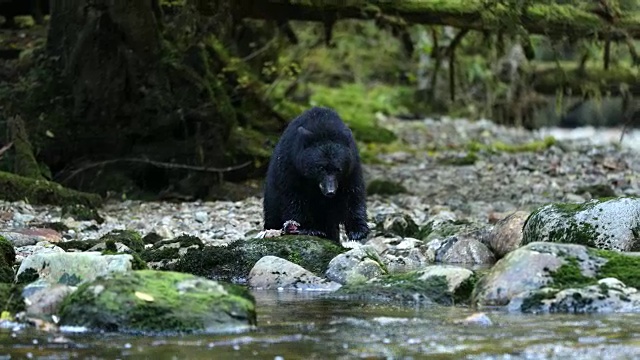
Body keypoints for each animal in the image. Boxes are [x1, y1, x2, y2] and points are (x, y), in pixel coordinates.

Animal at [262, 105, 370, 243]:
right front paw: (309, 228)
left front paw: (358, 231)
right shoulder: (291, 164)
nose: (330, 192)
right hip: (271, 195)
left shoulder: (352, 167)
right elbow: (293, 195)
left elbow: (353, 194)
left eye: (338, 169)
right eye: (320, 168)